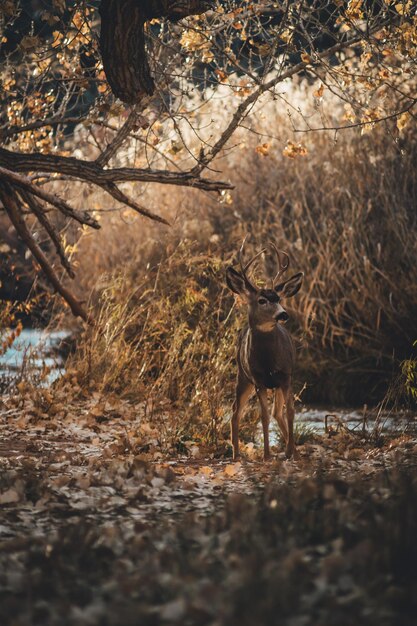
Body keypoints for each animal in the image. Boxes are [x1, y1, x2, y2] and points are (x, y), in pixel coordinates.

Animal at [226, 236, 304, 460]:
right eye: (261, 300)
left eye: (279, 298)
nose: (283, 314)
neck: (269, 361)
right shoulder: (259, 379)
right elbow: (264, 416)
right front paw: (267, 455)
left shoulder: (286, 375)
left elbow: (289, 412)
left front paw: (291, 452)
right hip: (243, 376)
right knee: (235, 410)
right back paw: (235, 453)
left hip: (275, 383)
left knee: (278, 412)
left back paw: (292, 448)